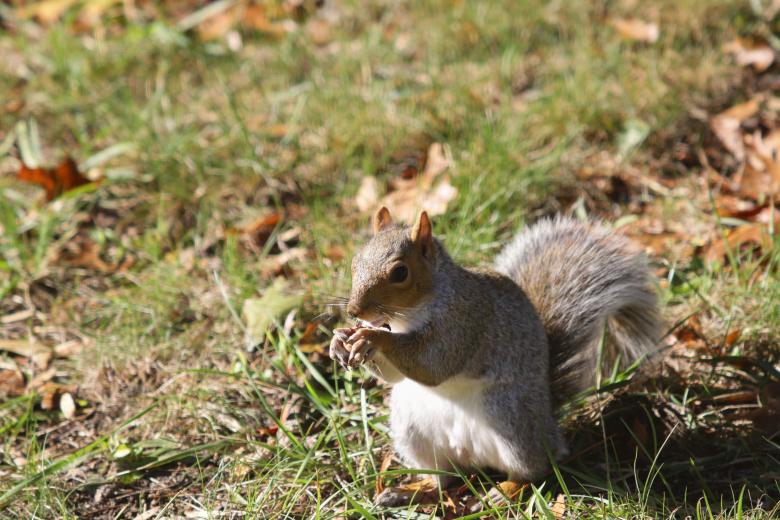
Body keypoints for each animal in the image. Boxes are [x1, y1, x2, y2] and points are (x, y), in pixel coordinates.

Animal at [329, 206, 661, 499]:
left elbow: (433, 364)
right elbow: (395, 376)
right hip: (411, 427)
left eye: (400, 272)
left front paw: (371, 337)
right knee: (443, 479)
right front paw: (341, 340)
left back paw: (505, 491)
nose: (354, 311)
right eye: (355, 263)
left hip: (511, 419)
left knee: (536, 468)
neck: (404, 318)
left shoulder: (464, 321)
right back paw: (409, 490)